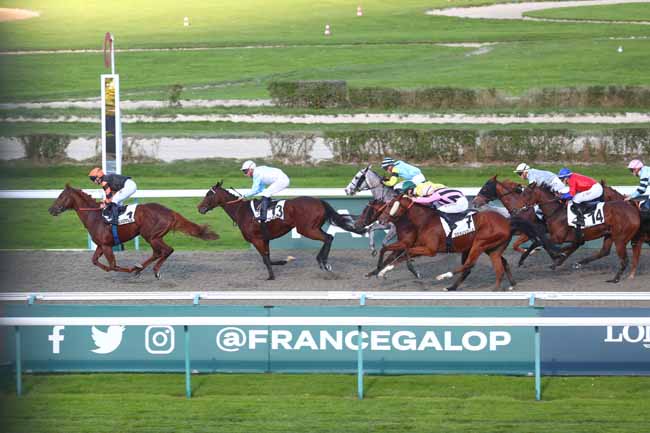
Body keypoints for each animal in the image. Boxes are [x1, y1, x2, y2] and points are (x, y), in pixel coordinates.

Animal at [48, 182, 219, 276]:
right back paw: (140, 268)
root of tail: (170, 211)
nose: (51, 209)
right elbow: (95, 260)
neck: (95, 216)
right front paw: (128, 269)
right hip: (154, 236)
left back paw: (153, 270)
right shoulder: (102, 245)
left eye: (61, 196)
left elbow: (112, 265)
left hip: (151, 236)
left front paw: (129, 269)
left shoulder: (106, 246)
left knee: (167, 250)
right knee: (158, 252)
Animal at [196, 180, 364, 278]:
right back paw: (322, 262)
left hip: (306, 229)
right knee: (329, 238)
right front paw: (283, 262)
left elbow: (265, 259)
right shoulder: (265, 239)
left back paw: (323, 262)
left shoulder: (256, 239)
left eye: (208, 195)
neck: (241, 211)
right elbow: (268, 257)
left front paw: (271, 276)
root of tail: (320, 202)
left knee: (328, 238)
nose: (199, 208)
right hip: (313, 228)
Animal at [372, 193, 544, 290]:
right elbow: (400, 254)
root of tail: (507, 221)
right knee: (499, 265)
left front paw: (415, 272)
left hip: (479, 244)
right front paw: (382, 272)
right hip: (491, 248)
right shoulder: (420, 247)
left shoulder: (430, 250)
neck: (424, 221)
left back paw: (444, 277)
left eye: (391, 205)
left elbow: (406, 253)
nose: (381, 219)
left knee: (469, 264)